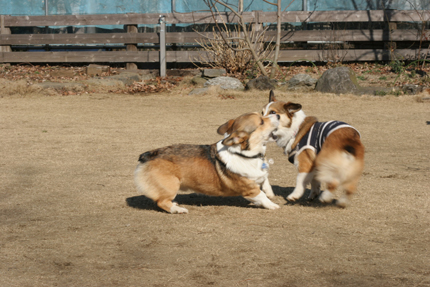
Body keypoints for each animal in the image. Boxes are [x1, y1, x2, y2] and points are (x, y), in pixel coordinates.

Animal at [135, 112, 282, 214]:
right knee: (161, 202)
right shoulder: (250, 189)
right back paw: (178, 210)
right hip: (172, 185)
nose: (278, 115)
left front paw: (270, 193)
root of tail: (148, 154)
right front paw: (272, 205)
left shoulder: (260, 176)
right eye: (261, 121)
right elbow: (262, 195)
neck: (245, 154)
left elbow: (265, 182)